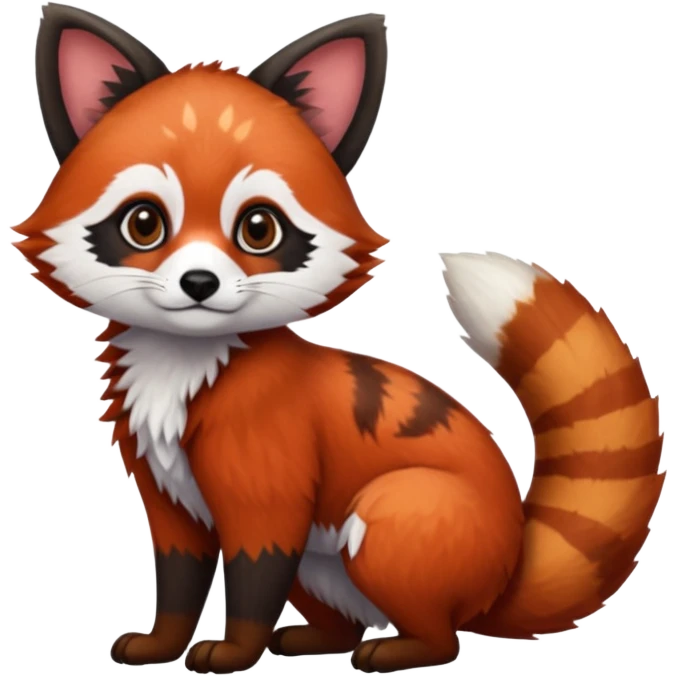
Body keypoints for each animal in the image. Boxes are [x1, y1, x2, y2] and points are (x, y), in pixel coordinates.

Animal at [15, 3, 665, 674]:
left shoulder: (269, 492)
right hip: (321, 562)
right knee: (349, 622)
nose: (200, 283)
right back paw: (315, 639)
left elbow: (252, 579)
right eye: (144, 223)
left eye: (258, 229)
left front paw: (233, 652)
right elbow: (178, 580)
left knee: (444, 638)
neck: (183, 369)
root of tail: (508, 566)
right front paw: (162, 644)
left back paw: (396, 649)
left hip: (392, 519)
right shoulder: (168, 496)